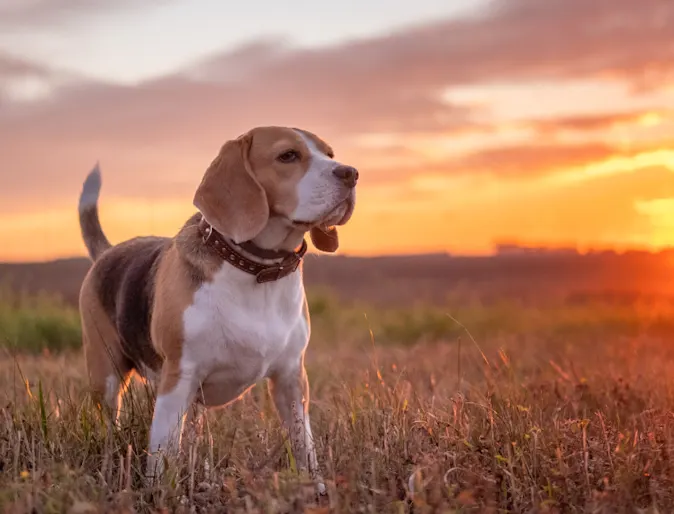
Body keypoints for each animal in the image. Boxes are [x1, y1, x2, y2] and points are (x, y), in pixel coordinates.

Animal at [77, 126, 356, 490]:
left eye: (330, 154)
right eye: (288, 156)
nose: (351, 174)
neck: (256, 270)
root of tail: (108, 252)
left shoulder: (292, 379)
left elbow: (303, 444)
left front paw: (316, 488)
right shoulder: (178, 379)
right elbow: (163, 455)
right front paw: (162, 496)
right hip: (106, 377)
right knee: (112, 426)